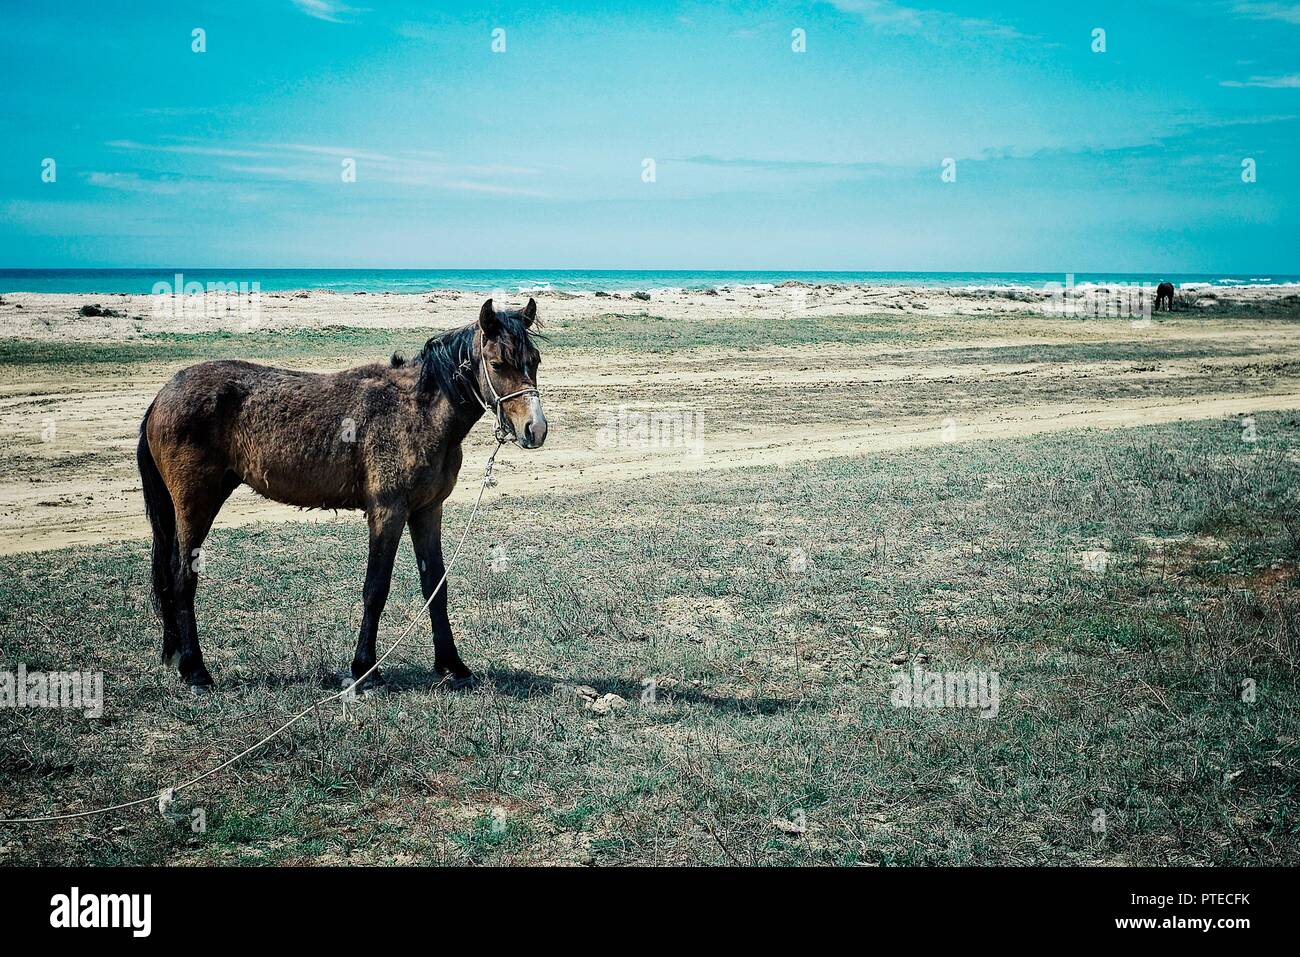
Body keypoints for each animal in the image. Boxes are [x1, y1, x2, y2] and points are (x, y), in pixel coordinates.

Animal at [138, 299, 548, 686]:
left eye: (535, 361)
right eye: (497, 364)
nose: (536, 429)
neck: (415, 411)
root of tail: (163, 395)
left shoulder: (427, 511)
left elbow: (435, 585)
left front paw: (452, 665)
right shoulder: (387, 512)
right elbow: (376, 588)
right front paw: (365, 670)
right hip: (195, 504)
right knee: (182, 577)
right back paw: (195, 671)